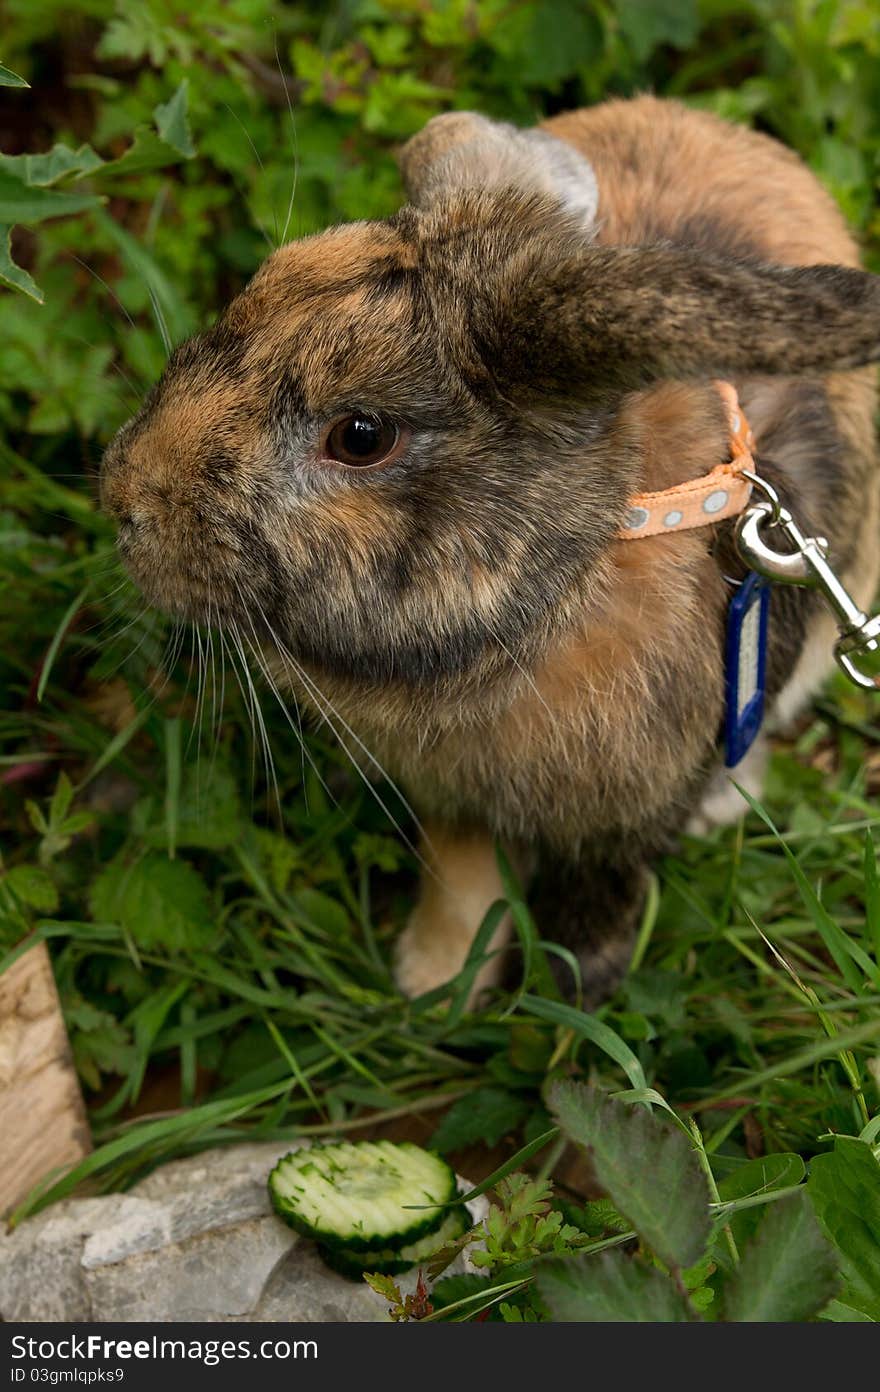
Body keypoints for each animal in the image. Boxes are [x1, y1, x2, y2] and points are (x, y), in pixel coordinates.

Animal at [101, 98, 880, 1013]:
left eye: (360, 436)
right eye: (258, 289)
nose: (121, 498)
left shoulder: (637, 809)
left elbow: (606, 891)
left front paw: (571, 999)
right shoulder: (455, 802)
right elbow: (465, 875)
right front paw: (435, 983)